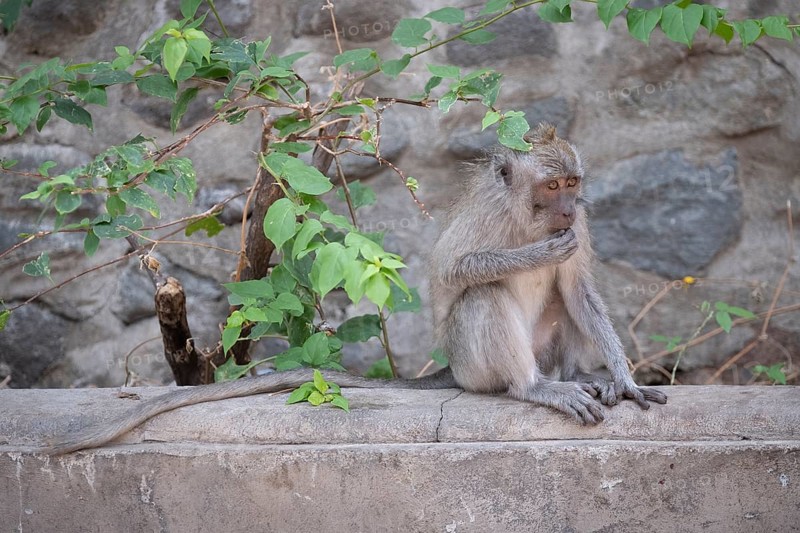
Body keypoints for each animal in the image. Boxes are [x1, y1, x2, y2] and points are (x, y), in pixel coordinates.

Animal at [41, 123, 665, 455]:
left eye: (573, 183)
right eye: (552, 186)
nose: (568, 208)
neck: (532, 218)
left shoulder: (580, 226)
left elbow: (580, 288)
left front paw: (627, 379)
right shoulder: (491, 216)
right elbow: (451, 272)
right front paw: (534, 255)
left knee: (566, 303)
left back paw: (580, 375)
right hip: (474, 368)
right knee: (483, 299)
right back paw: (533, 388)